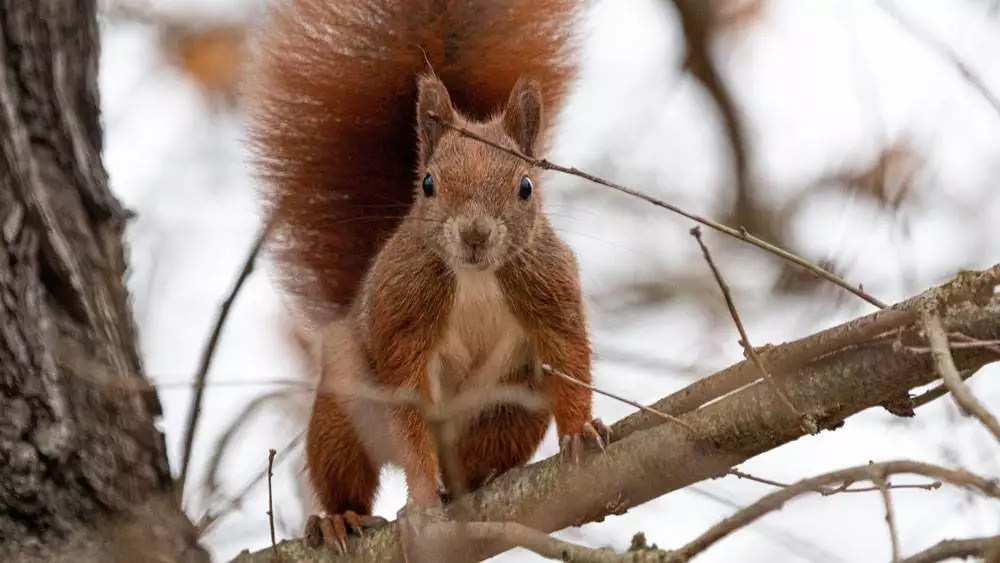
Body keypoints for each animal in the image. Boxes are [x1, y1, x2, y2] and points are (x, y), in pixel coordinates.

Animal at [246, 0, 604, 552]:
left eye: (525, 186)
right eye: (429, 184)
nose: (475, 234)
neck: (475, 276)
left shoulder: (549, 284)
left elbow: (568, 354)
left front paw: (581, 430)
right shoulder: (404, 311)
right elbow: (408, 402)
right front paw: (419, 500)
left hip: (513, 409)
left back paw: (471, 484)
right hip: (343, 407)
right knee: (345, 467)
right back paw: (339, 518)